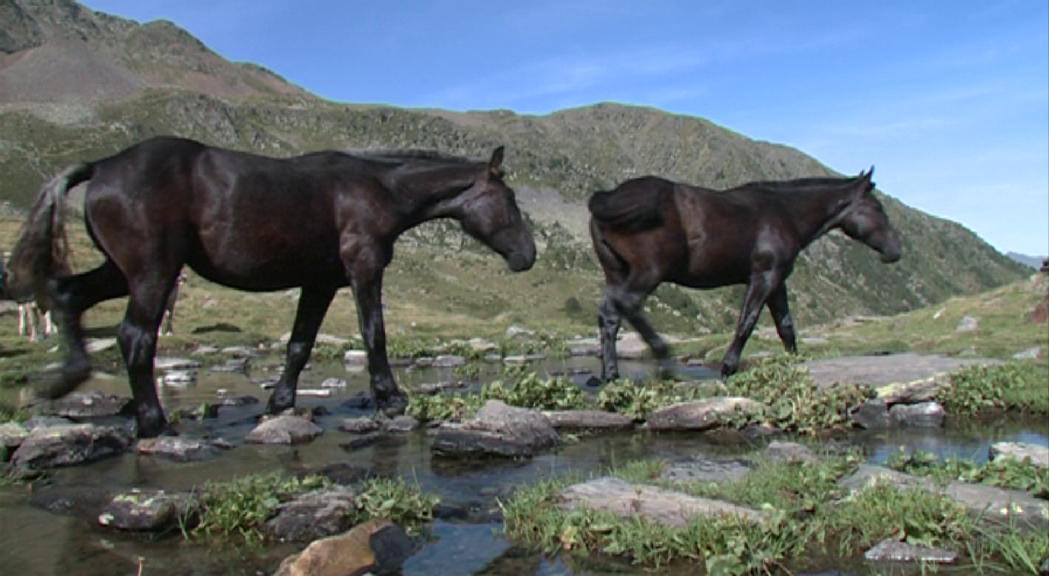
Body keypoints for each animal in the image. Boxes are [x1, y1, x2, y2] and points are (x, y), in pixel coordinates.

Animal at [4, 136, 537, 436]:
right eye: (509, 199)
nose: (528, 256)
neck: (377, 190)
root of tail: (102, 166)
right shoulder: (363, 271)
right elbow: (374, 334)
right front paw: (390, 397)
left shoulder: (320, 284)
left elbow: (300, 345)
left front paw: (279, 404)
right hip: (151, 273)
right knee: (136, 338)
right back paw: (152, 422)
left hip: (121, 271)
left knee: (68, 297)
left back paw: (66, 380)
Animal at [591, 168, 902, 379]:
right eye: (876, 207)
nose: (895, 249)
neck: (784, 213)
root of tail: (607, 199)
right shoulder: (764, 277)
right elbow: (747, 322)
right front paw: (728, 367)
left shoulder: (777, 282)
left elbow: (785, 326)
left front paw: (793, 362)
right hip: (649, 272)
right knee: (627, 305)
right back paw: (662, 356)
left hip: (617, 272)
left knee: (610, 315)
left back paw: (611, 374)